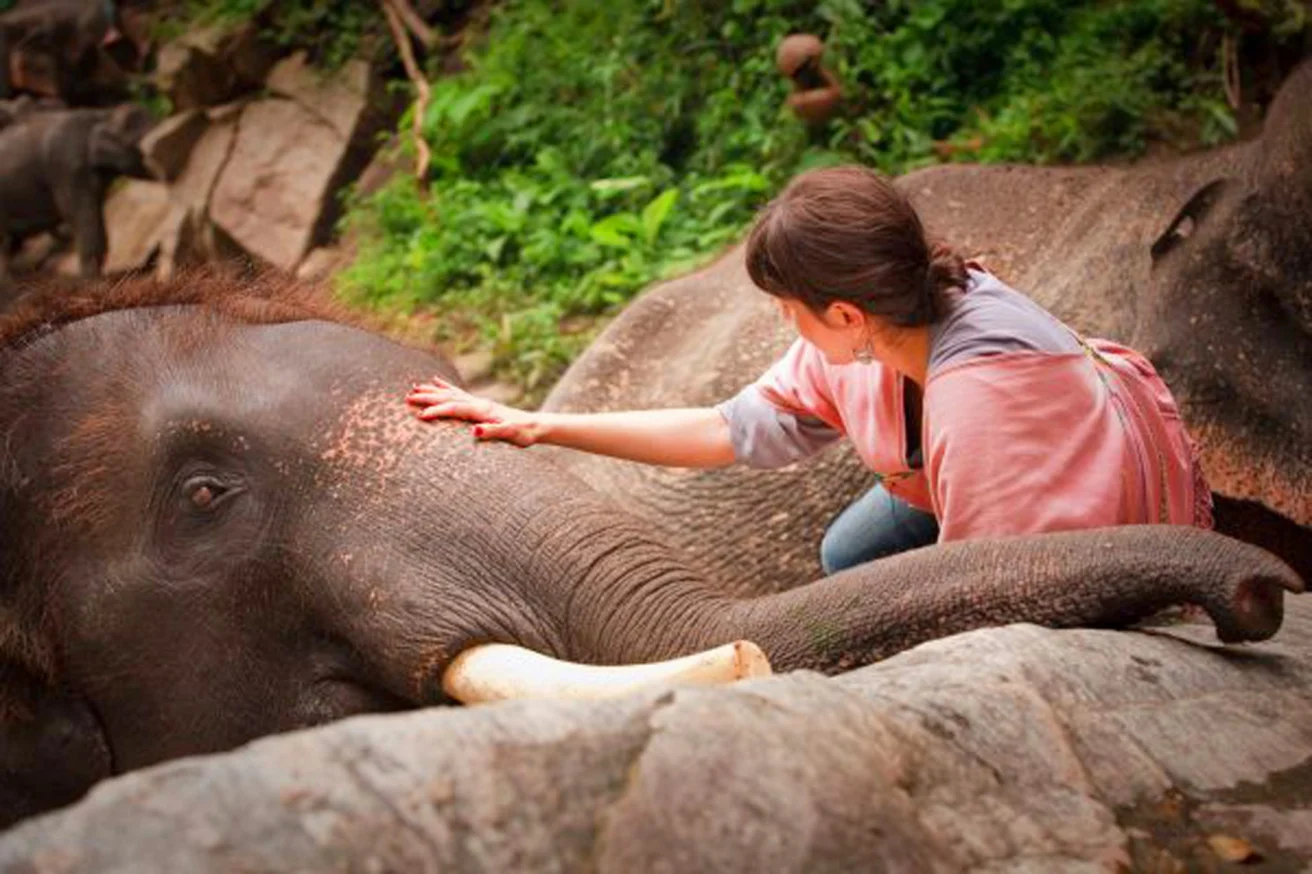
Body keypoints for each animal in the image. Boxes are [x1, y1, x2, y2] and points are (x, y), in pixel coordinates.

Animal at [0, 101, 153, 279]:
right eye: (143, 146)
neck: (104, 114)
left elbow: (94, 212)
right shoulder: (68, 166)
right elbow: (76, 214)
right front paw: (92, 280)